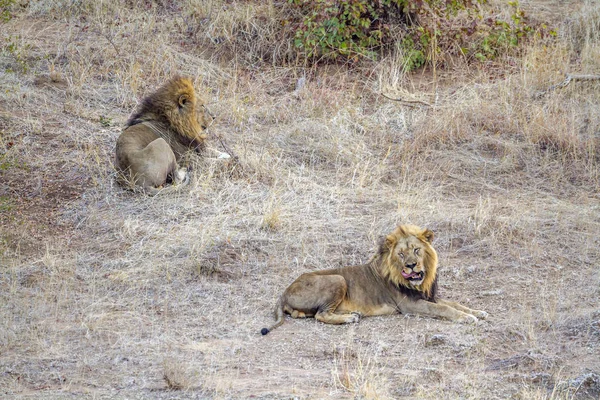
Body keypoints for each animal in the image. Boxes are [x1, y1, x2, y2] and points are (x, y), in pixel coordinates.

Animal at [262, 225, 488, 334]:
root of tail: (284, 292)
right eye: (401, 254)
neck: (419, 282)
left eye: (417, 250)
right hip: (337, 278)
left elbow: (454, 303)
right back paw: (350, 318)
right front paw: (467, 318)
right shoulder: (410, 305)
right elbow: (443, 308)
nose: (411, 265)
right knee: (320, 315)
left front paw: (478, 312)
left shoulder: (426, 295)